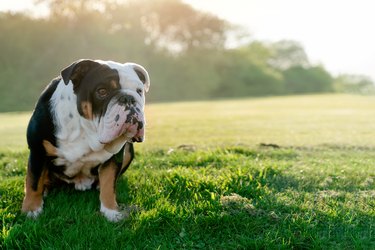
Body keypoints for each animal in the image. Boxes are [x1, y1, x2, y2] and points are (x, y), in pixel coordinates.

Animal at [22, 59, 151, 222]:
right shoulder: (37, 150)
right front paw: (31, 210)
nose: (129, 98)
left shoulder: (114, 156)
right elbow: (33, 182)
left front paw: (111, 211)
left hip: (128, 150)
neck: (86, 129)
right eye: (102, 91)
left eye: (139, 91)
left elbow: (109, 183)